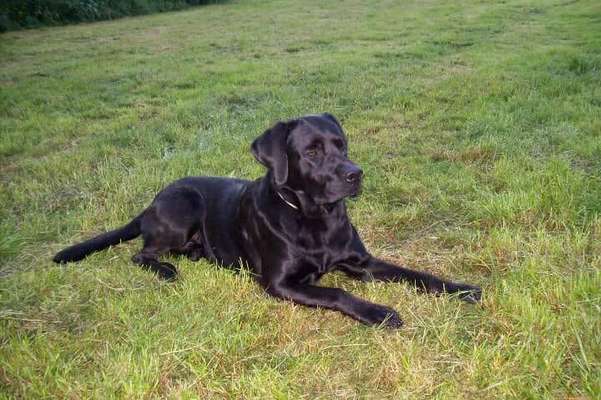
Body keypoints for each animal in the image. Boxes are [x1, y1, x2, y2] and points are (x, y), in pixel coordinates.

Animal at [54, 113, 480, 328]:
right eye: (312, 151)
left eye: (341, 144)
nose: (355, 174)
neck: (315, 218)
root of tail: (150, 203)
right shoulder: (279, 283)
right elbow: (337, 292)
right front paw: (378, 311)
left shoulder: (363, 262)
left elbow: (417, 274)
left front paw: (460, 289)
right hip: (185, 205)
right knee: (141, 254)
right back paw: (166, 270)